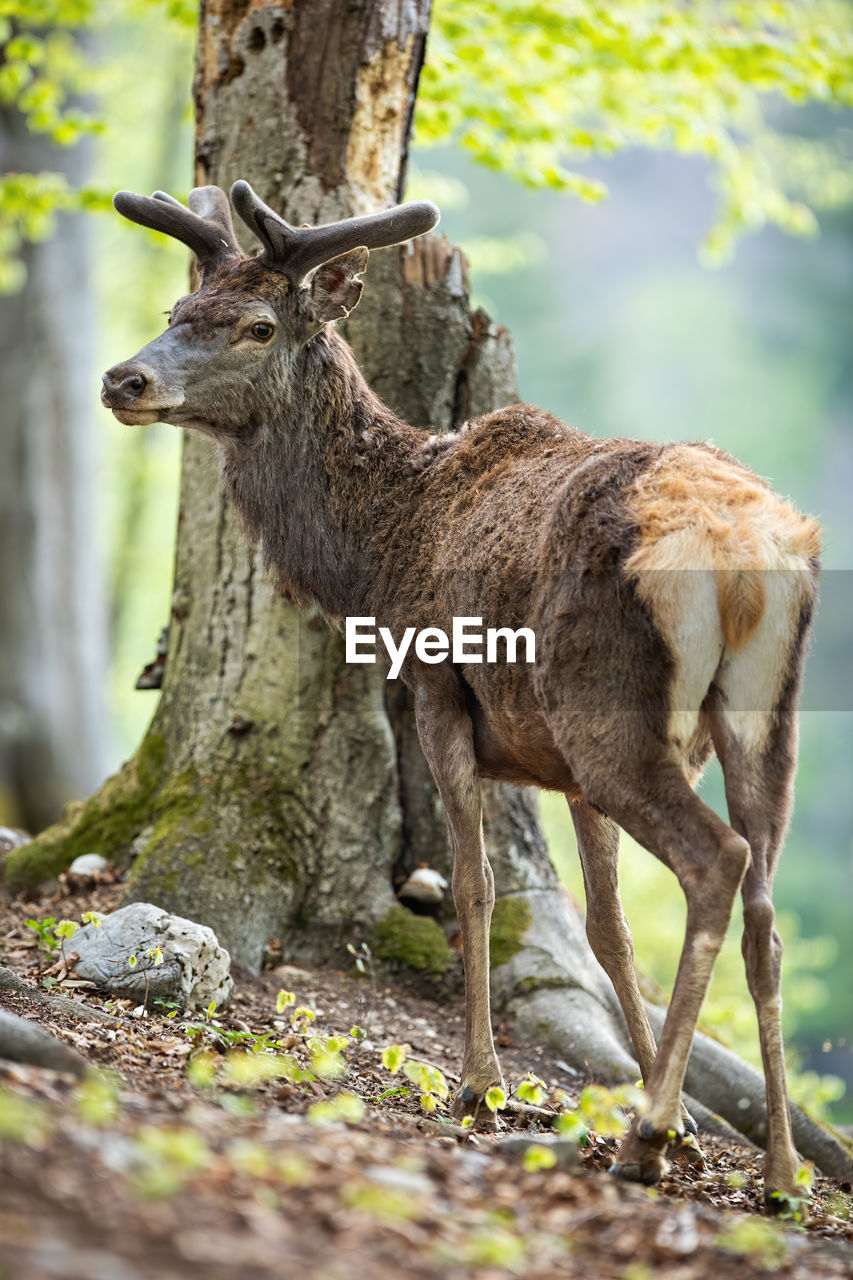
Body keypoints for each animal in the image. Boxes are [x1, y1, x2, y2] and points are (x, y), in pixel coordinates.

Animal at [103, 180, 819, 1208]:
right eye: (175, 311)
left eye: (257, 325)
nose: (124, 380)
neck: (375, 555)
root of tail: (742, 557)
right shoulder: (564, 768)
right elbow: (605, 930)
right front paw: (679, 1112)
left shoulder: (441, 689)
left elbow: (474, 886)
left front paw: (483, 1085)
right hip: (763, 714)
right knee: (762, 898)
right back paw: (778, 1168)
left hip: (606, 705)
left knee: (715, 861)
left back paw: (641, 1142)